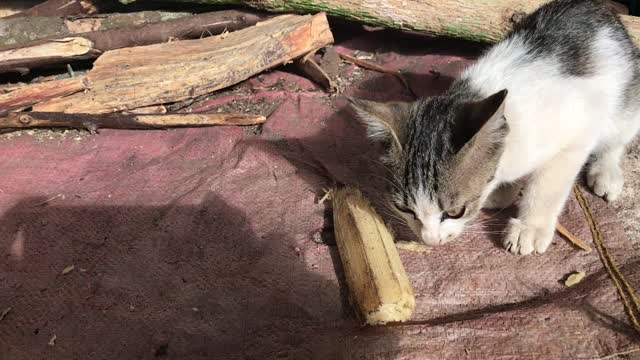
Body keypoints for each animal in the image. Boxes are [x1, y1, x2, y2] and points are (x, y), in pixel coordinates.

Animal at [350, 0, 640, 256]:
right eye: (405, 209)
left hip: (625, 106)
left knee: (616, 139)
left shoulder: (575, 136)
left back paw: (606, 171)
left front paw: (530, 227)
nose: (430, 241)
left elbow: (546, 186)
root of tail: (599, 8)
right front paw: (502, 193)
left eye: (455, 212)